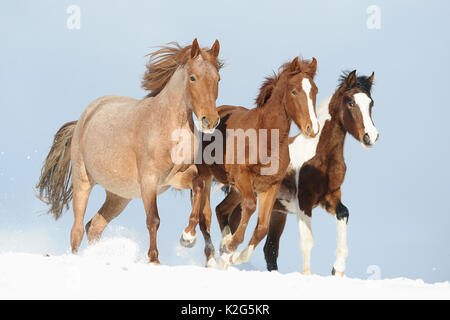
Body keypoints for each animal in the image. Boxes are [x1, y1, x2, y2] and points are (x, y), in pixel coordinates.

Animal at [36, 38, 222, 264]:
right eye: (193, 78)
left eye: (218, 78)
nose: (210, 121)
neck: (170, 128)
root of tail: (83, 118)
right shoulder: (149, 180)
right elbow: (153, 219)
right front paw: (154, 259)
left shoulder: (175, 177)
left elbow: (199, 186)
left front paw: (188, 237)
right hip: (83, 182)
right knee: (77, 230)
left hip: (119, 196)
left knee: (94, 226)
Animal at [178, 57, 322, 268]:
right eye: (295, 91)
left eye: (315, 91)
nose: (312, 128)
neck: (266, 139)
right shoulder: (243, 178)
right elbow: (251, 206)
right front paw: (231, 245)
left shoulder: (270, 186)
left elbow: (262, 227)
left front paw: (234, 254)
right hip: (207, 176)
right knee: (206, 214)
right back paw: (196, 243)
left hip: (236, 189)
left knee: (221, 209)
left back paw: (224, 247)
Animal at [223, 71, 378, 276]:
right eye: (350, 102)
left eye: (370, 103)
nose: (371, 136)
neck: (319, 156)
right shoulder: (304, 201)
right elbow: (307, 241)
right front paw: (308, 274)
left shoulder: (330, 196)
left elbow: (344, 213)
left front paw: (337, 269)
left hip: (277, 212)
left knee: (269, 249)